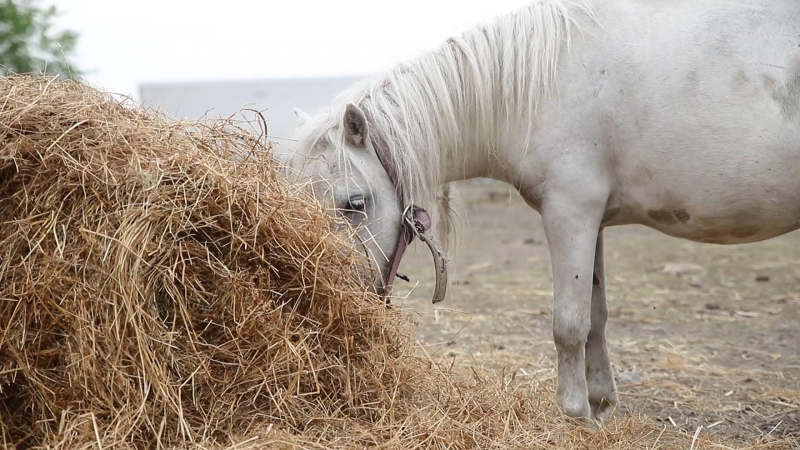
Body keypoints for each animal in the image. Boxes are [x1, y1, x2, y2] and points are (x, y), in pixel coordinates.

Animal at [276, 0, 800, 420]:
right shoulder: (593, 222)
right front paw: (600, 401)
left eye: (354, 203)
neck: (540, 89)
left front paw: (573, 413)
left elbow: (568, 324)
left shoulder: (570, 214)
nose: (321, 304)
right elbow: (595, 315)